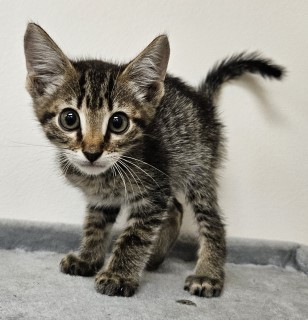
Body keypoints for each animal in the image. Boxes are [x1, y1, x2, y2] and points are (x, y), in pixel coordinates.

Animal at [24, 22, 284, 298]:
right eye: (69, 118)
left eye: (118, 122)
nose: (92, 152)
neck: (105, 174)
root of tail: (202, 101)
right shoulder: (104, 196)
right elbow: (96, 225)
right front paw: (88, 258)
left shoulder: (154, 190)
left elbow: (135, 235)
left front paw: (119, 274)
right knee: (176, 209)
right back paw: (154, 258)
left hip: (197, 167)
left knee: (211, 220)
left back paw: (207, 274)